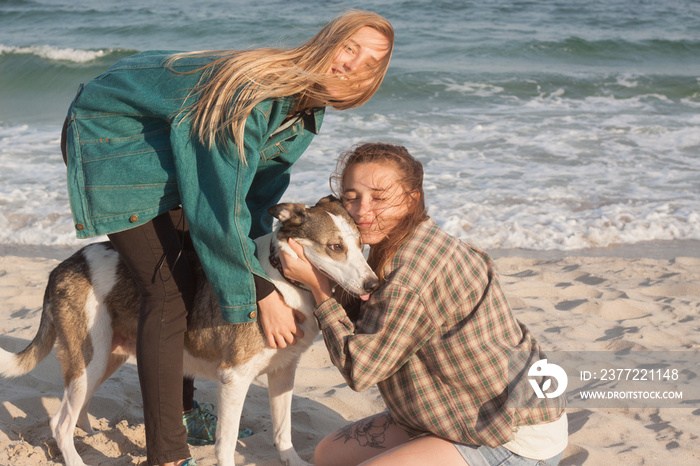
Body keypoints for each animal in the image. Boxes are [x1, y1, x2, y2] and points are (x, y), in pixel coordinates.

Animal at [0, 197, 378, 466]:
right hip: (89, 360)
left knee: (75, 410)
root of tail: (62, 268)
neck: (282, 277)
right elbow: (226, 445)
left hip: (106, 358)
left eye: (361, 243)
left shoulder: (283, 372)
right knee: (59, 424)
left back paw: (89, 435)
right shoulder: (234, 378)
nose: (374, 285)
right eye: (335, 247)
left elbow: (284, 432)